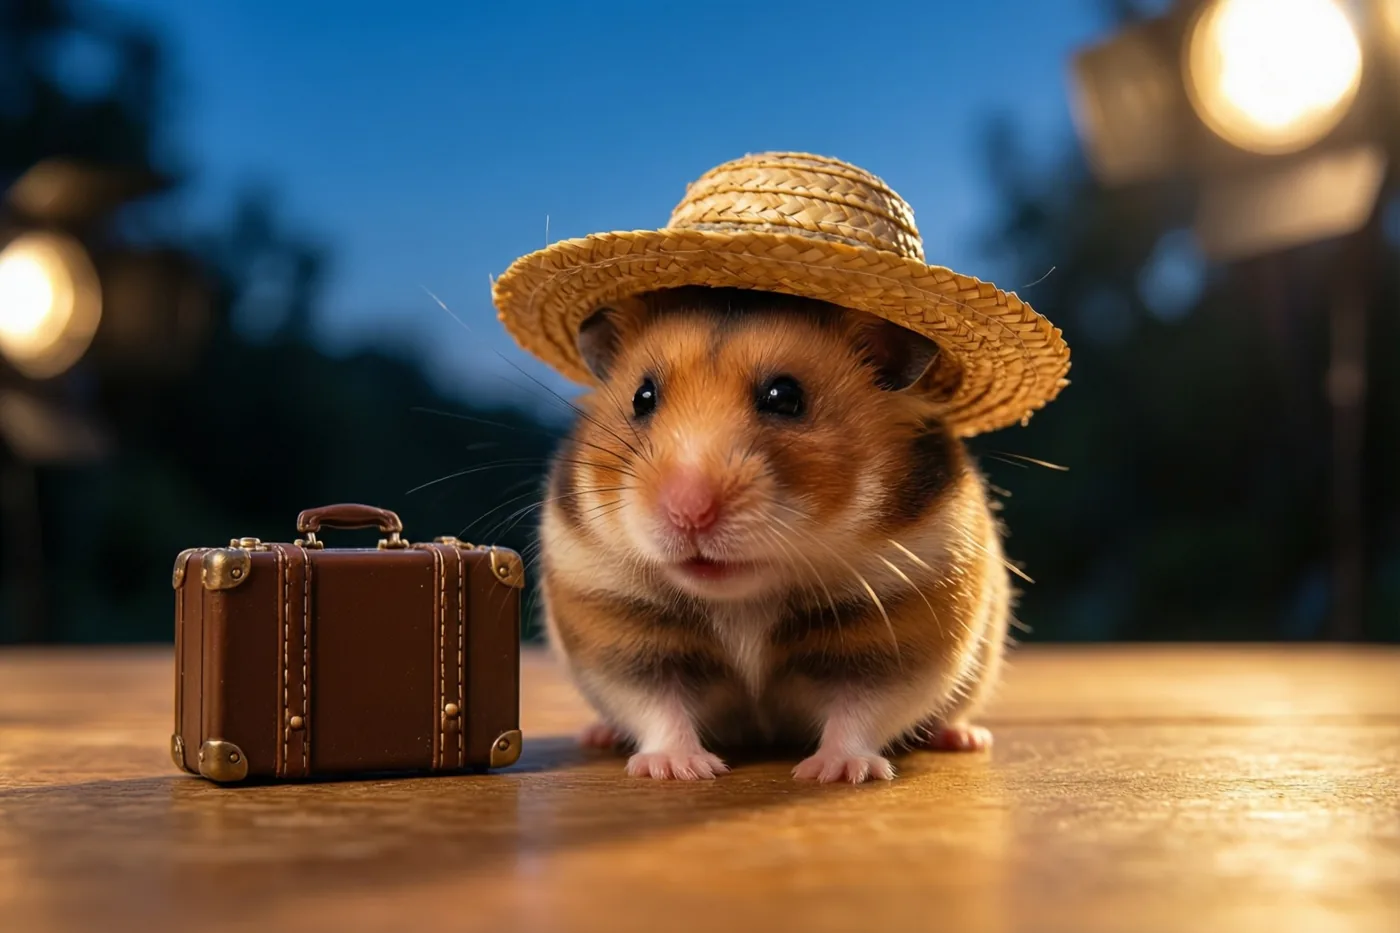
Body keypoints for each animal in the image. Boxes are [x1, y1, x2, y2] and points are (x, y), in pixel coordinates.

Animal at [537, 285, 1011, 784]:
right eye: (642, 397)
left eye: (785, 397)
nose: (688, 512)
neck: (744, 599)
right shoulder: (623, 628)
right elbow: (657, 706)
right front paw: (680, 769)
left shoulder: (899, 631)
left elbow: (862, 710)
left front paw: (836, 772)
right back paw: (598, 736)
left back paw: (965, 738)